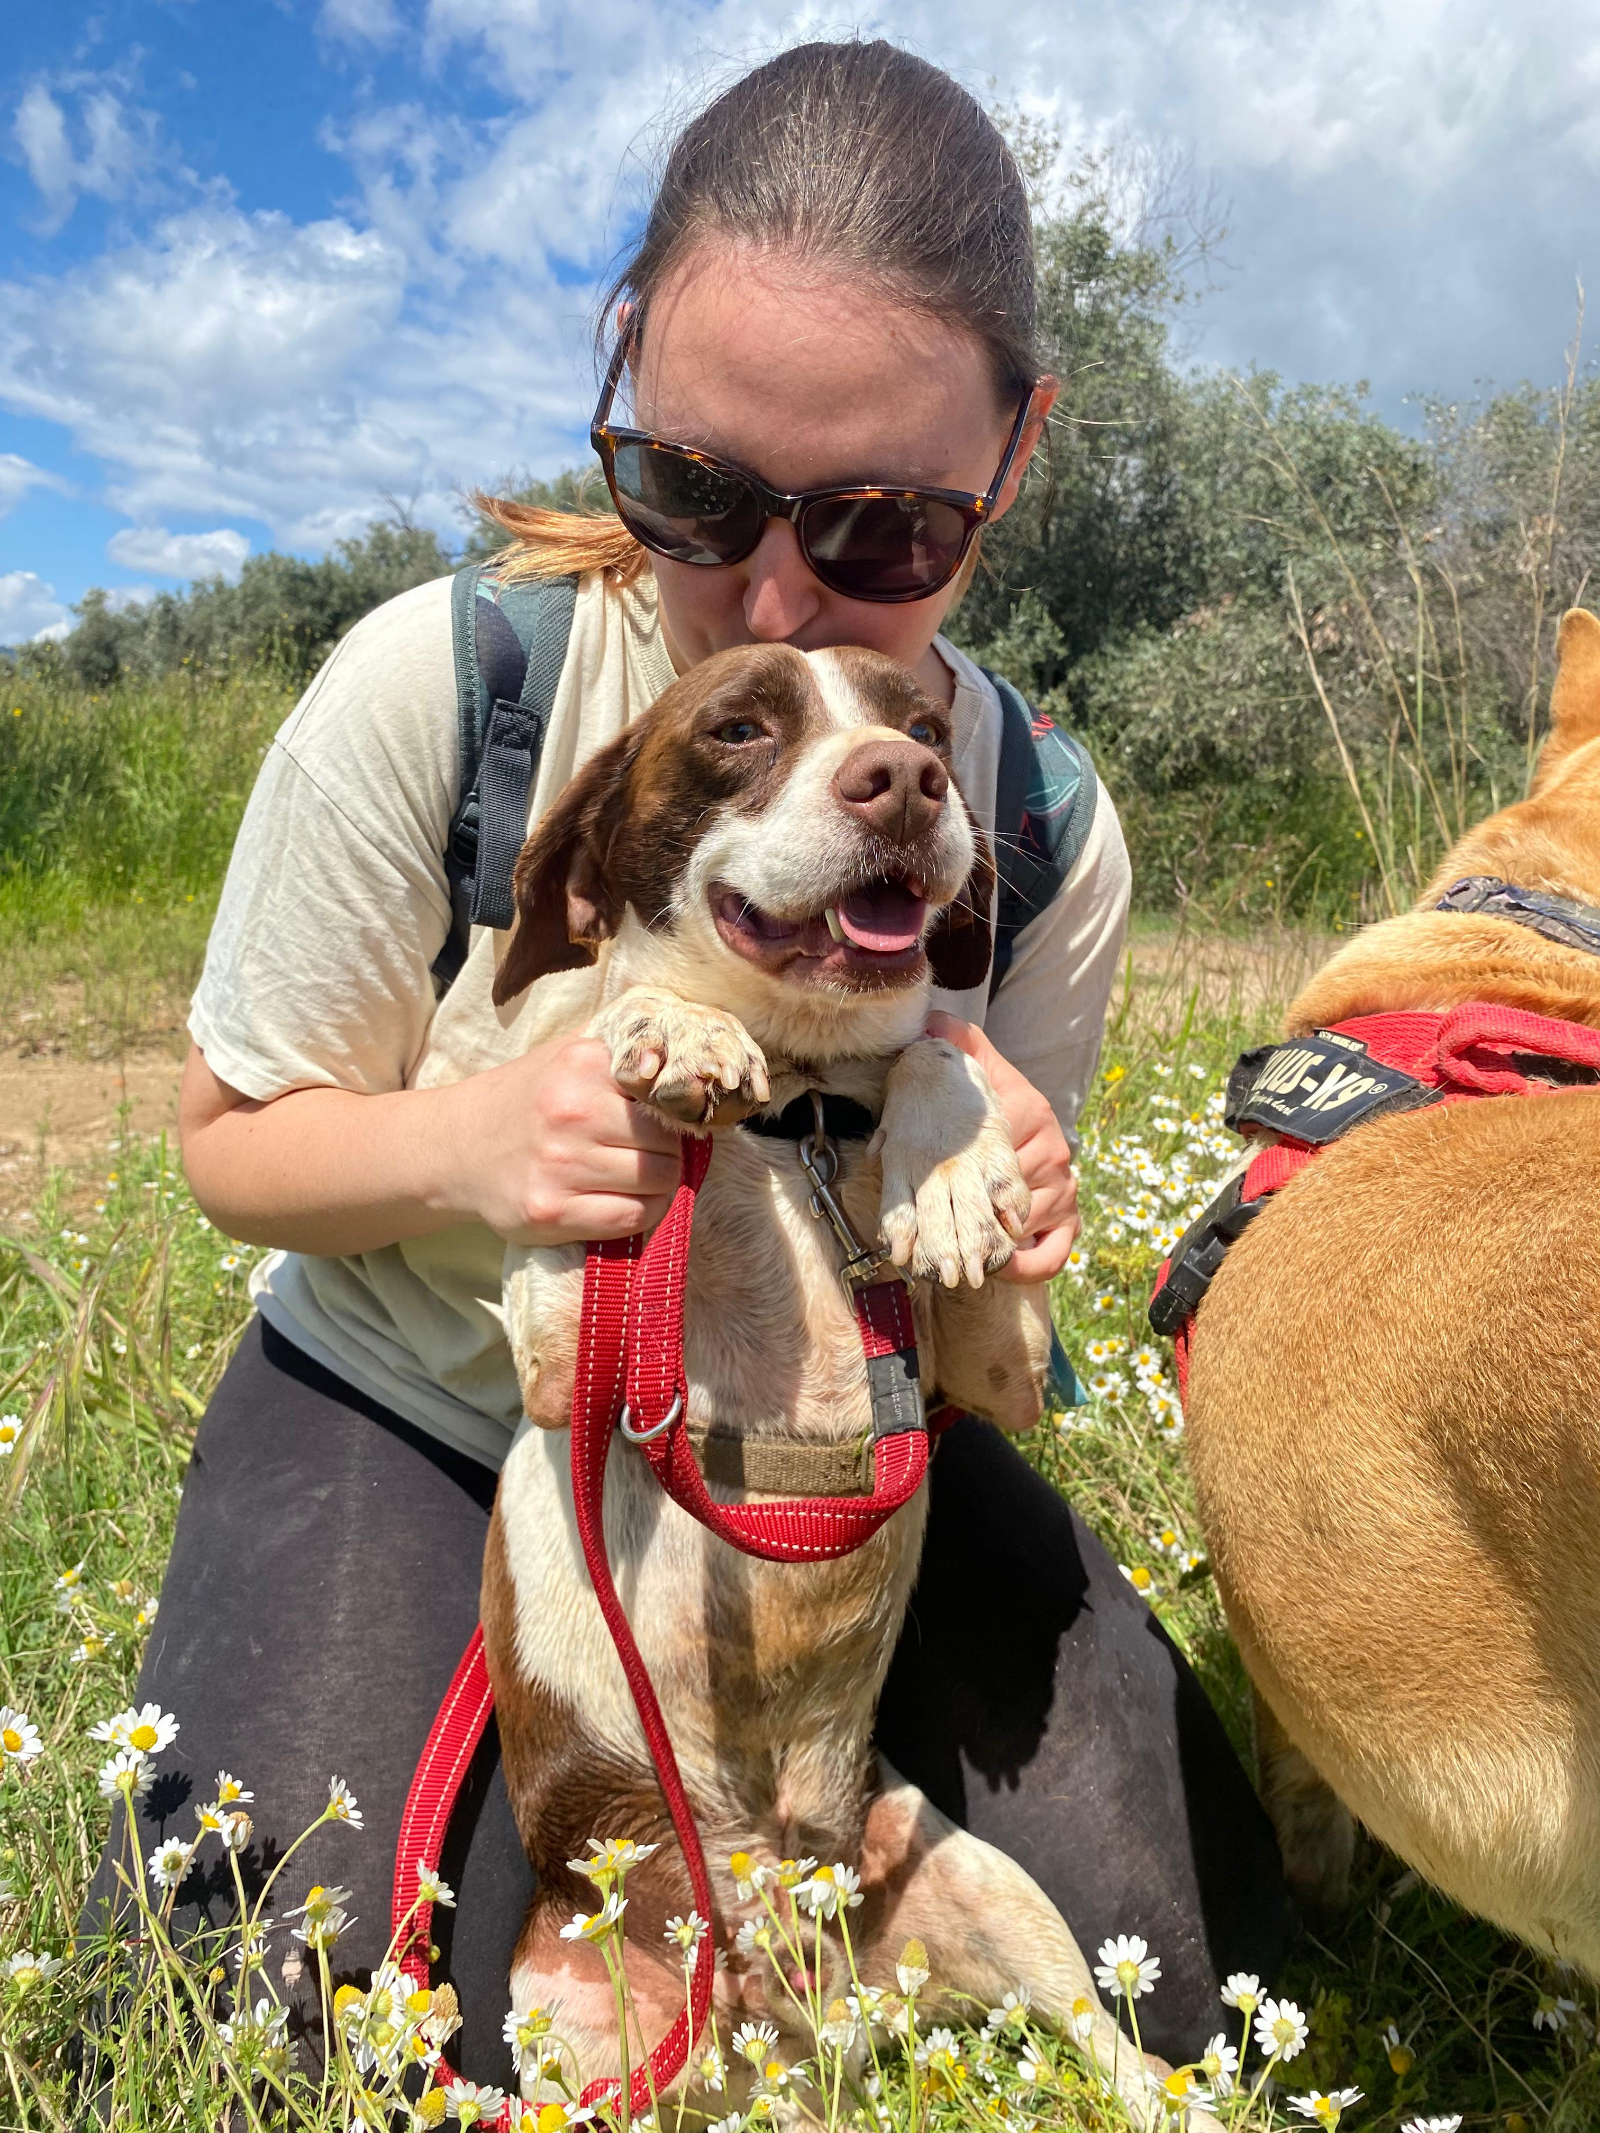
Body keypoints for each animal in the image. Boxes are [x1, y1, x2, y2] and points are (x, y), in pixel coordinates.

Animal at [479, 640, 1199, 2126]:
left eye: (920, 722)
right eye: (737, 728)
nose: (906, 778)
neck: (797, 1106)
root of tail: (809, 2019)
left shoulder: (993, 1364)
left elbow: (932, 1046)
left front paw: (952, 1168)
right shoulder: (562, 1352)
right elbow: (623, 1034)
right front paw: (668, 1022)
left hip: (976, 1873)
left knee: (1114, 2052)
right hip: (572, 2024)